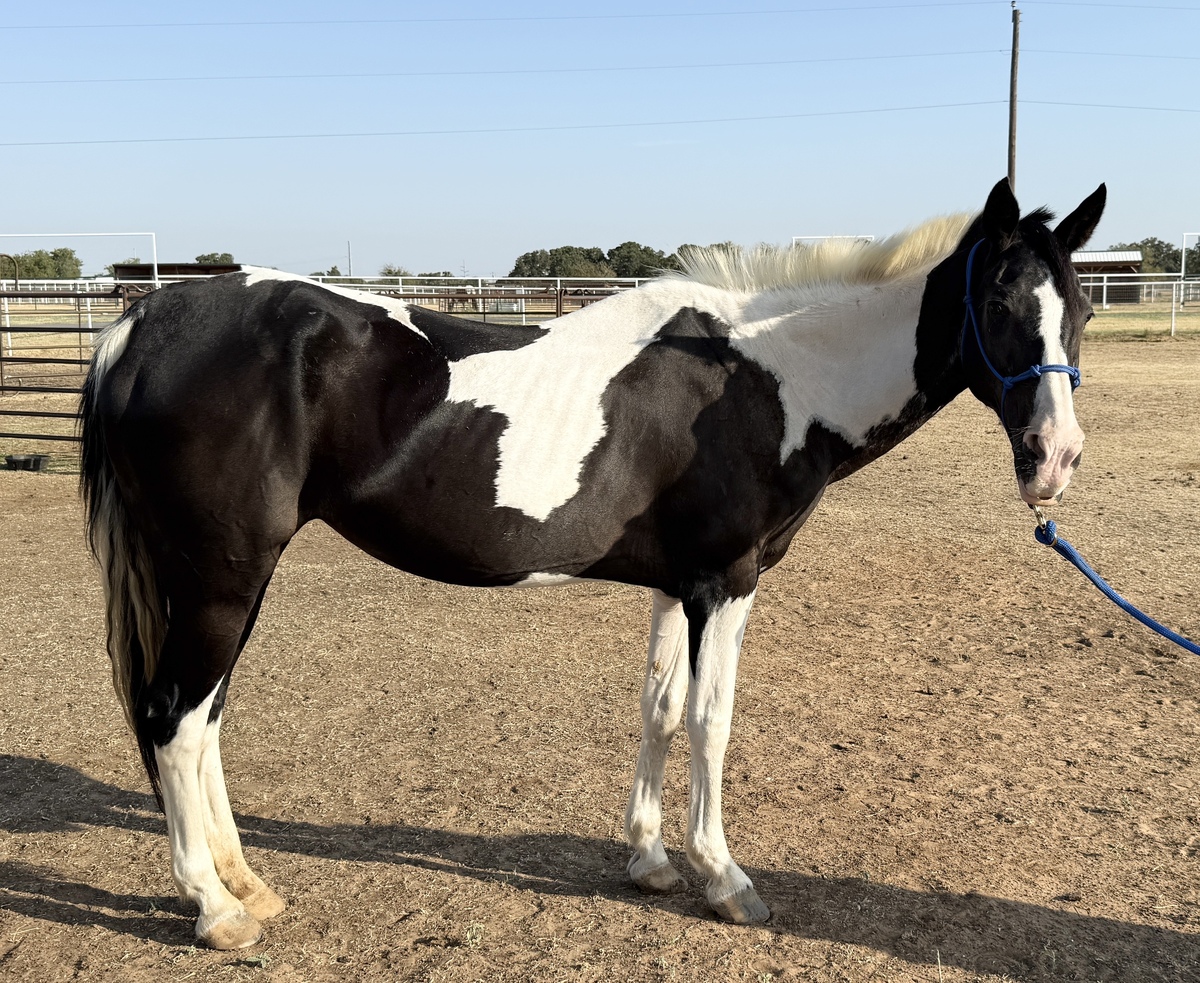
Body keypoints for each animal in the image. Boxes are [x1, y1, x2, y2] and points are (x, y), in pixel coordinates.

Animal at [80, 178, 1105, 949]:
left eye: (1083, 309)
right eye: (999, 304)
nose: (1054, 457)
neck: (769, 377)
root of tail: (145, 322)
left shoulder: (674, 586)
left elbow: (658, 706)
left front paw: (649, 859)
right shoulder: (726, 583)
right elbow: (711, 720)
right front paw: (723, 875)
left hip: (229, 581)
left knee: (204, 719)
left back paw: (246, 880)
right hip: (220, 578)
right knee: (173, 719)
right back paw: (214, 909)